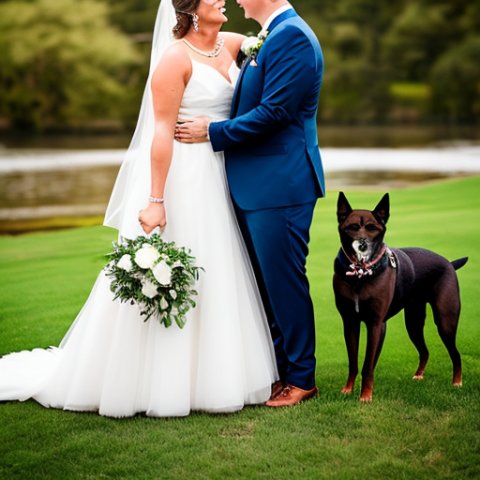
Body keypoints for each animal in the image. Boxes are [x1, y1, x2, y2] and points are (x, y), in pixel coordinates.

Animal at [334, 191, 464, 402]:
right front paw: (348, 389)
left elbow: (368, 364)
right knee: (425, 351)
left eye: (372, 228)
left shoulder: (375, 324)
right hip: (413, 322)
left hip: (445, 322)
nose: (362, 245)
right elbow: (353, 362)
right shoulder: (350, 322)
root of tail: (449, 264)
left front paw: (365, 396)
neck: (360, 275)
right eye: (352, 227)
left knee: (455, 354)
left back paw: (457, 382)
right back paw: (419, 375)